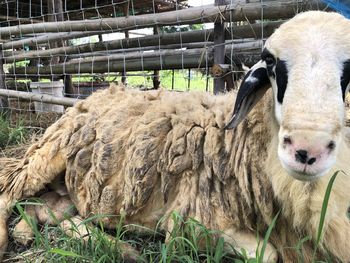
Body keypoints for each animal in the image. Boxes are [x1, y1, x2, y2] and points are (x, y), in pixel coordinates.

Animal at [0, 9, 350, 262]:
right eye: (272, 62)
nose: (307, 150)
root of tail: (97, 94)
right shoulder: (189, 223)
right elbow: (267, 253)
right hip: (45, 157)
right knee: (9, 195)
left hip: (67, 188)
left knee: (50, 209)